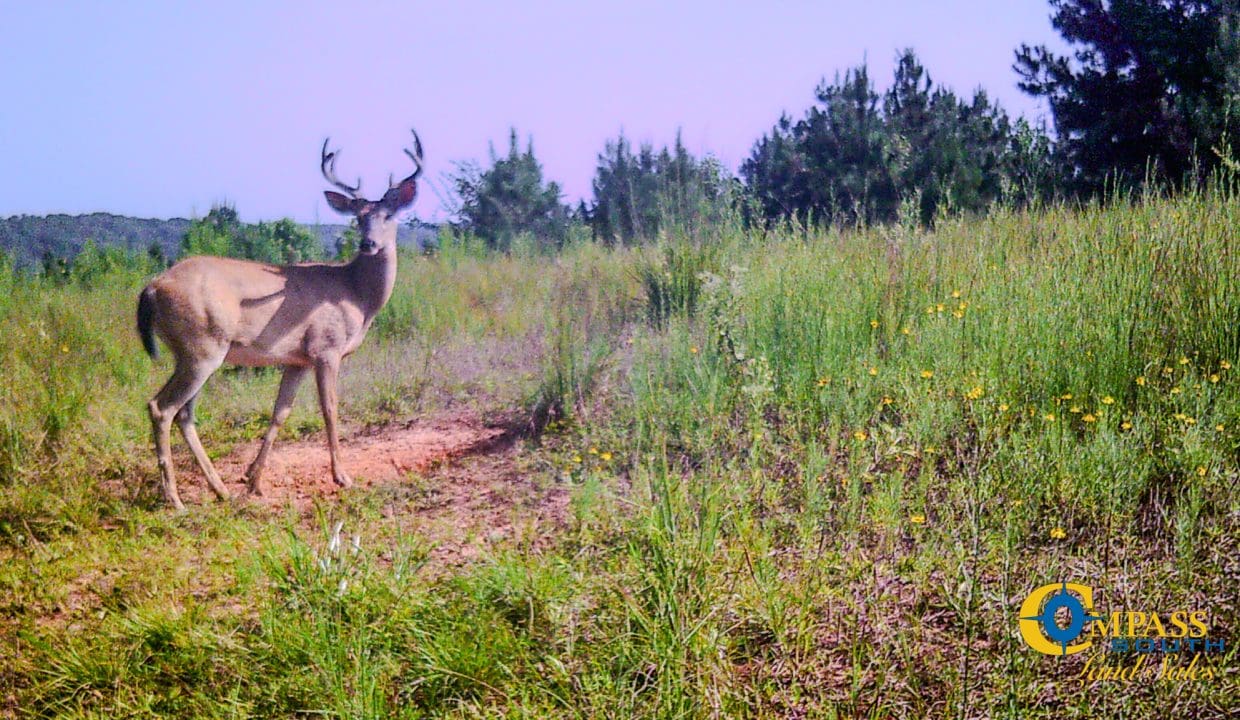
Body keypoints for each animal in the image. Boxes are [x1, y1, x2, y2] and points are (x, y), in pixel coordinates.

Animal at [135, 130, 424, 510]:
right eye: (358, 218)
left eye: (388, 214)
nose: (368, 243)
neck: (355, 294)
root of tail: (152, 287)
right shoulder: (326, 348)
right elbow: (329, 409)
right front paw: (342, 477)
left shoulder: (297, 359)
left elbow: (280, 412)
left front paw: (253, 479)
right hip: (201, 348)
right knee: (162, 407)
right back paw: (175, 499)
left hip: (192, 353)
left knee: (184, 414)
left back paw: (220, 489)